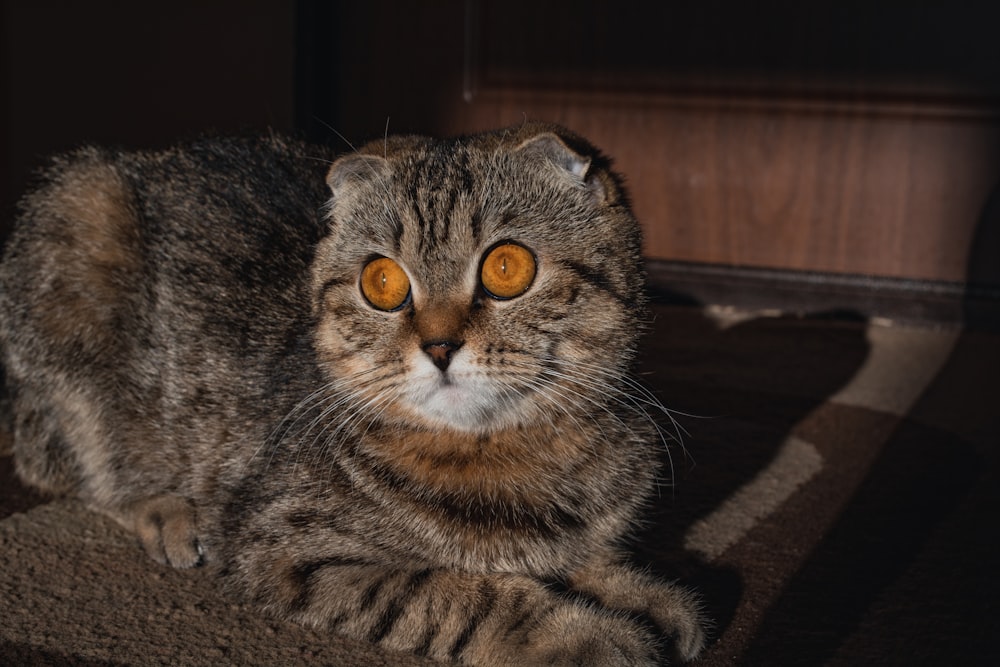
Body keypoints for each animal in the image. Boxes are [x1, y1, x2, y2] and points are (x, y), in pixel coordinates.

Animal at [0, 124, 708, 664]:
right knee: (81, 467)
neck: (505, 456)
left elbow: (587, 558)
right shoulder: (282, 548)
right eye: (382, 282)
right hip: (77, 228)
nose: (440, 346)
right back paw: (165, 512)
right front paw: (584, 634)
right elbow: (465, 594)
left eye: (507, 268)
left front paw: (644, 593)